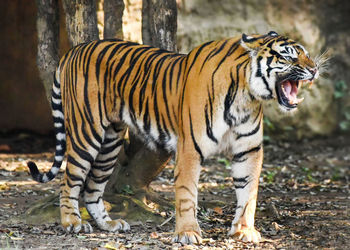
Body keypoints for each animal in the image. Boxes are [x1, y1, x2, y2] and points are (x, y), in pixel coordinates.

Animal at [27, 31, 318, 244]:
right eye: (289, 56)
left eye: (306, 54)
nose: (315, 69)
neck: (246, 95)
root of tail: (74, 49)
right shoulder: (191, 149)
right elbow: (187, 193)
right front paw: (188, 233)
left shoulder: (249, 151)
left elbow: (248, 193)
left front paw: (244, 231)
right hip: (87, 133)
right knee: (69, 180)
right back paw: (72, 223)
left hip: (110, 141)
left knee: (93, 187)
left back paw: (109, 224)